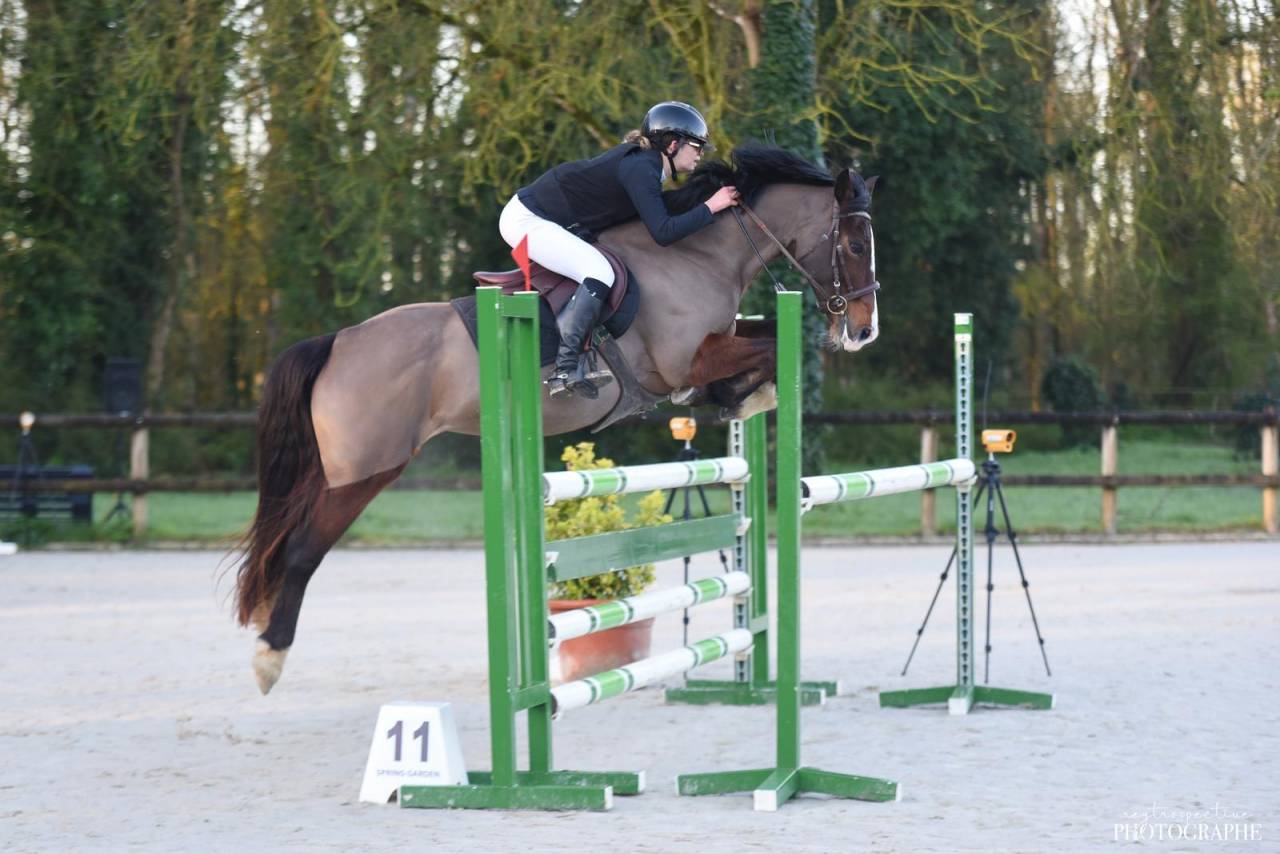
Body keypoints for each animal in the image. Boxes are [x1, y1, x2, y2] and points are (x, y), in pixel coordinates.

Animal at [234, 145, 880, 694]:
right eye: (854, 246)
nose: (864, 330)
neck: (700, 254)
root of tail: (338, 343)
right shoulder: (684, 360)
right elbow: (769, 350)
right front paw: (748, 393)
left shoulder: (711, 349)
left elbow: (763, 345)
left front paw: (739, 397)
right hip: (366, 471)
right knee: (302, 550)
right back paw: (269, 656)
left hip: (339, 470)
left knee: (281, 539)